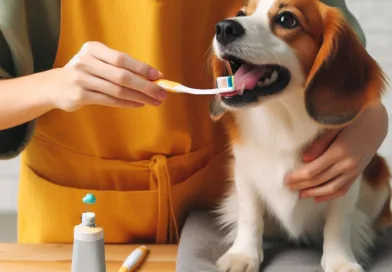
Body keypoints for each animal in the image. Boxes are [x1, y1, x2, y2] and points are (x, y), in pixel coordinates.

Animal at [210, 0, 390, 272]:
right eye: (241, 13)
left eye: (286, 19)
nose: (223, 27)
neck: (282, 117)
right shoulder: (245, 171)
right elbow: (249, 216)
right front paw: (243, 254)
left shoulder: (344, 178)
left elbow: (338, 224)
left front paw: (340, 261)